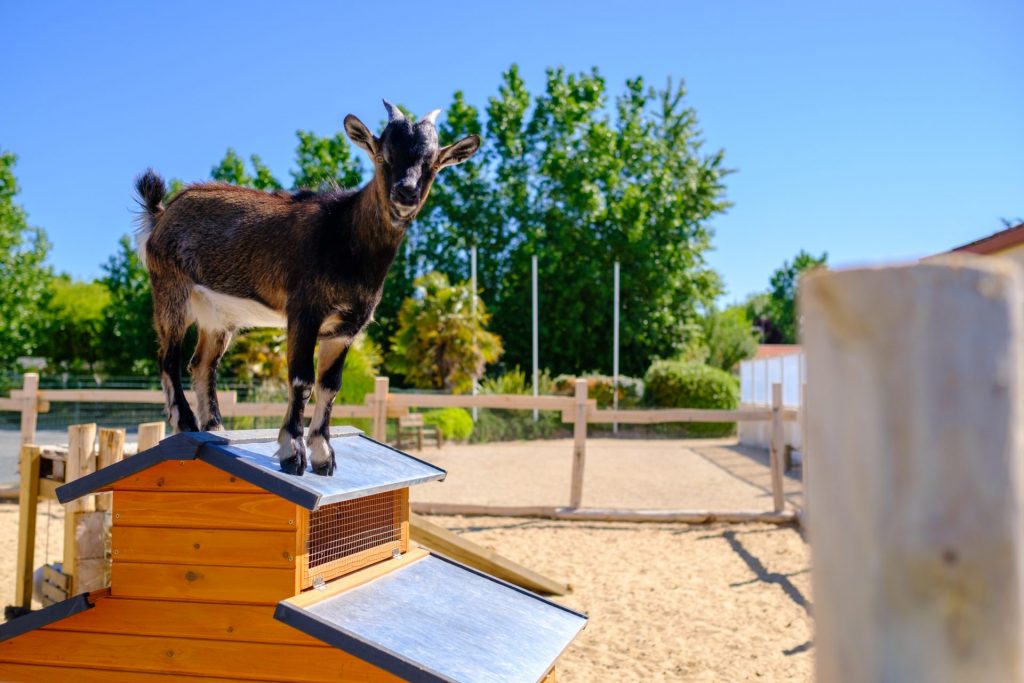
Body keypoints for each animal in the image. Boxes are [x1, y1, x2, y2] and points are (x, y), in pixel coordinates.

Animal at [134, 100, 481, 475]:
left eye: (432, 164)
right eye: (383, 155)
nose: (406, 192)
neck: (344, 235)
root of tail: (161, 214)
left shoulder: (345, 329)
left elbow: (330, 385)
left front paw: (324, 455)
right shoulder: (304, 313)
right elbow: (302, 379)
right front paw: (293, 453)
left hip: (218, 317)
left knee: (201, 365)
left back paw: (216, 428)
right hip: (171, 290)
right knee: (168, 358)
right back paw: (186, 423)